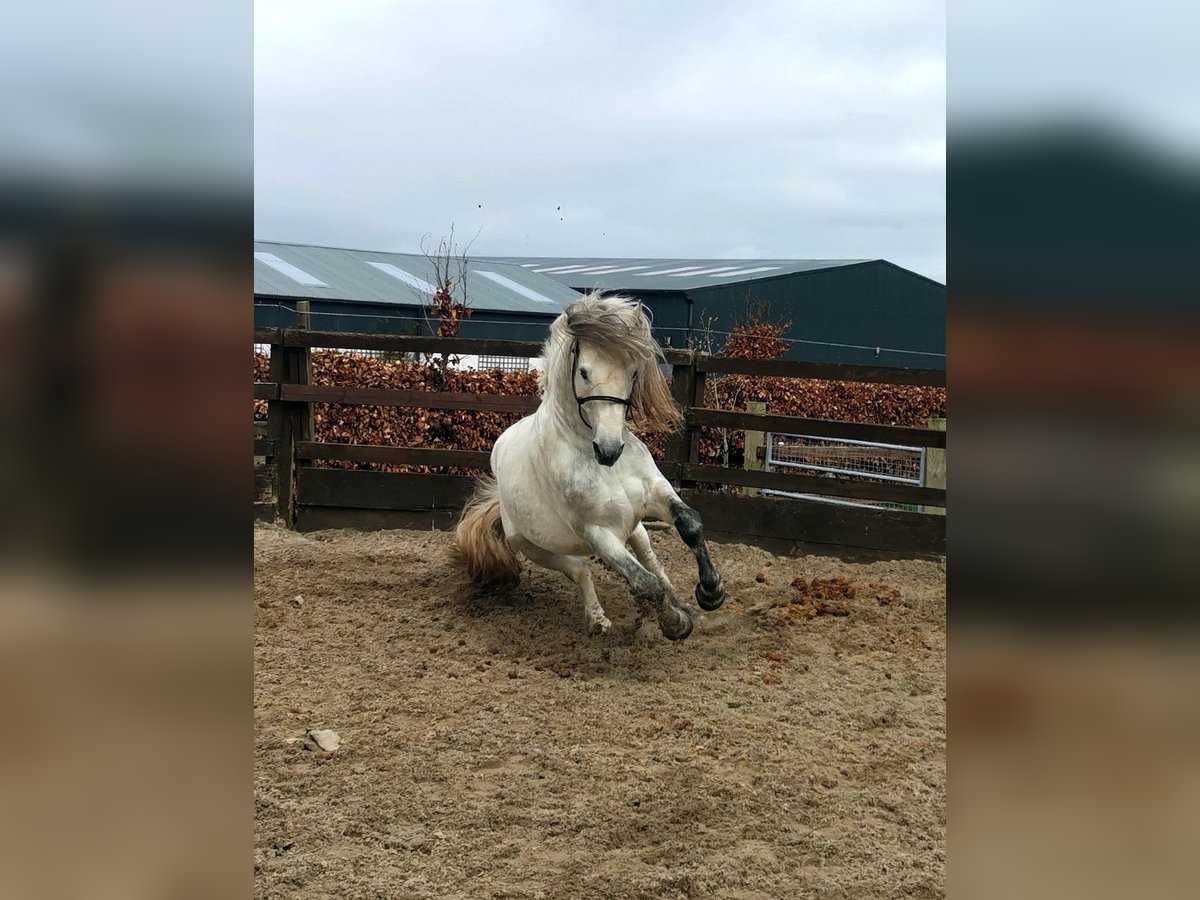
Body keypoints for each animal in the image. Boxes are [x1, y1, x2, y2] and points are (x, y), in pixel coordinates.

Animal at [451, 294, 724, 643]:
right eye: (583, 372)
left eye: (633, 372)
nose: (609, 449)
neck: (603, 464)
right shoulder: (598, 532)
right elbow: (644, 584)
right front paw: (674, 623)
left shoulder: (655, 493)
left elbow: (689, 525)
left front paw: (710, 593)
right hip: (532, 546)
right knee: (582, 569)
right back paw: (598, 619)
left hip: (635, 528)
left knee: (651, 560)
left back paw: (681, 603)